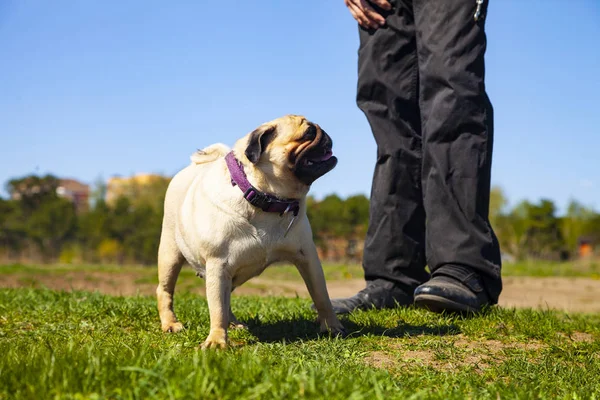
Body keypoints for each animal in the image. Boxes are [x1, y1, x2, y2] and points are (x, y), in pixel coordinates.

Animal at [156, 114, 346, 348]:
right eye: (308, 133)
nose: (324, 134)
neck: (265, 199)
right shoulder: (218, 264)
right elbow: (217, 308)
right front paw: (217, 340)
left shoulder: (308, 257)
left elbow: (322, 296)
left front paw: (332, 327)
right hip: (171, 254)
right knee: (165, 290)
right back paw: (170, 324)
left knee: (226, 300)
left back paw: (233, 323)